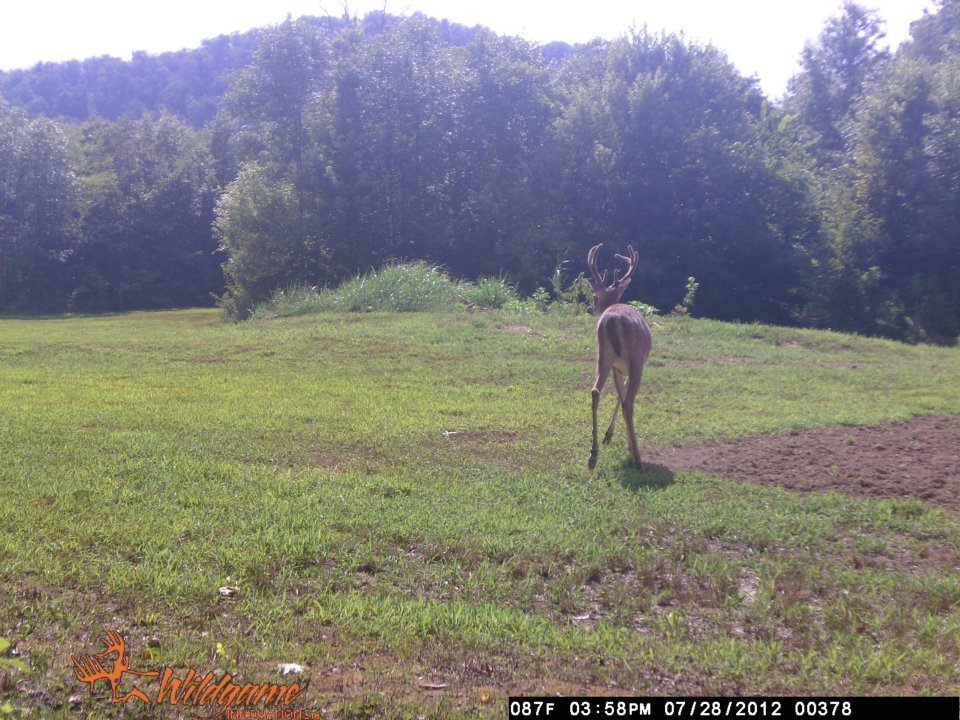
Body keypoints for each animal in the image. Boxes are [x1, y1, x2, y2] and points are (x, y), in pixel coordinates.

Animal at [586, 243, 652, 470]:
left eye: (595, 297)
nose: (589, 308)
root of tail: (612, 319)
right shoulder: (627, 366)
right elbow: (621, 397)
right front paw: (625, 443)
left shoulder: (617, 367)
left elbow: (617, 393)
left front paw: (608, 435)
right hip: (636, 359)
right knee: (628, 402)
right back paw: (638, 459)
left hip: (603, 355)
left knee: (595, 391)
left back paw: (593, 453)